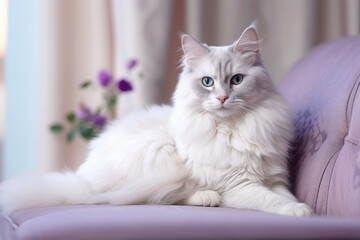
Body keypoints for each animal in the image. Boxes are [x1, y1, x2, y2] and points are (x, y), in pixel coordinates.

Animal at [0, 24, 312, 216]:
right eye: (207, 82)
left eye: (237, 80)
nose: (223, 98)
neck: (234, 128)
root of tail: (84, 180)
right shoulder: (239, 185)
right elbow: (271, 200)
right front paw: (301, 212)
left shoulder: (274, 178)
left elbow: (285, 195)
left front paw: (303, 207)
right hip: (160, 153)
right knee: (157, 196)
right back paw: (207, 197)